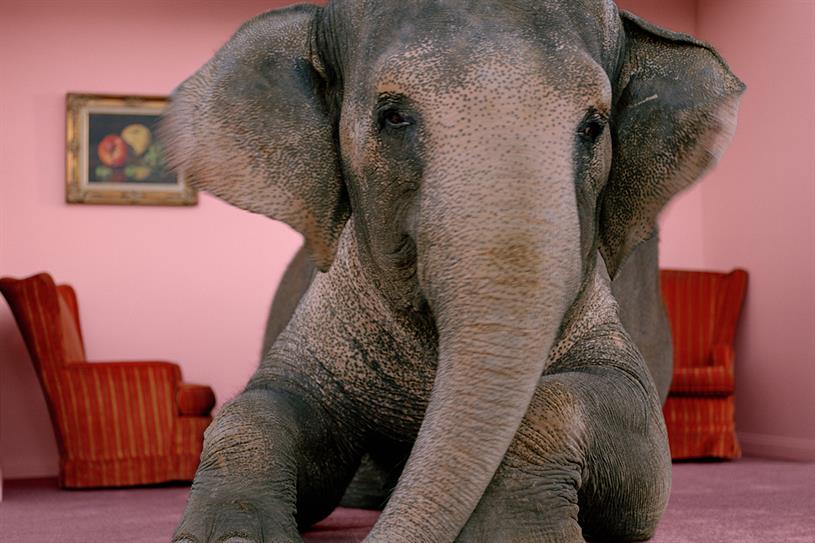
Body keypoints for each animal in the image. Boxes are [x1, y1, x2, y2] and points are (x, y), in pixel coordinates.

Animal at [163, 1, 743, 541]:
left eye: (593, 126)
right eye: (393, 116)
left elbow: (643, 453)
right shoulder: (330, 313)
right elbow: (267, 403)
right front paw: (232, 537)